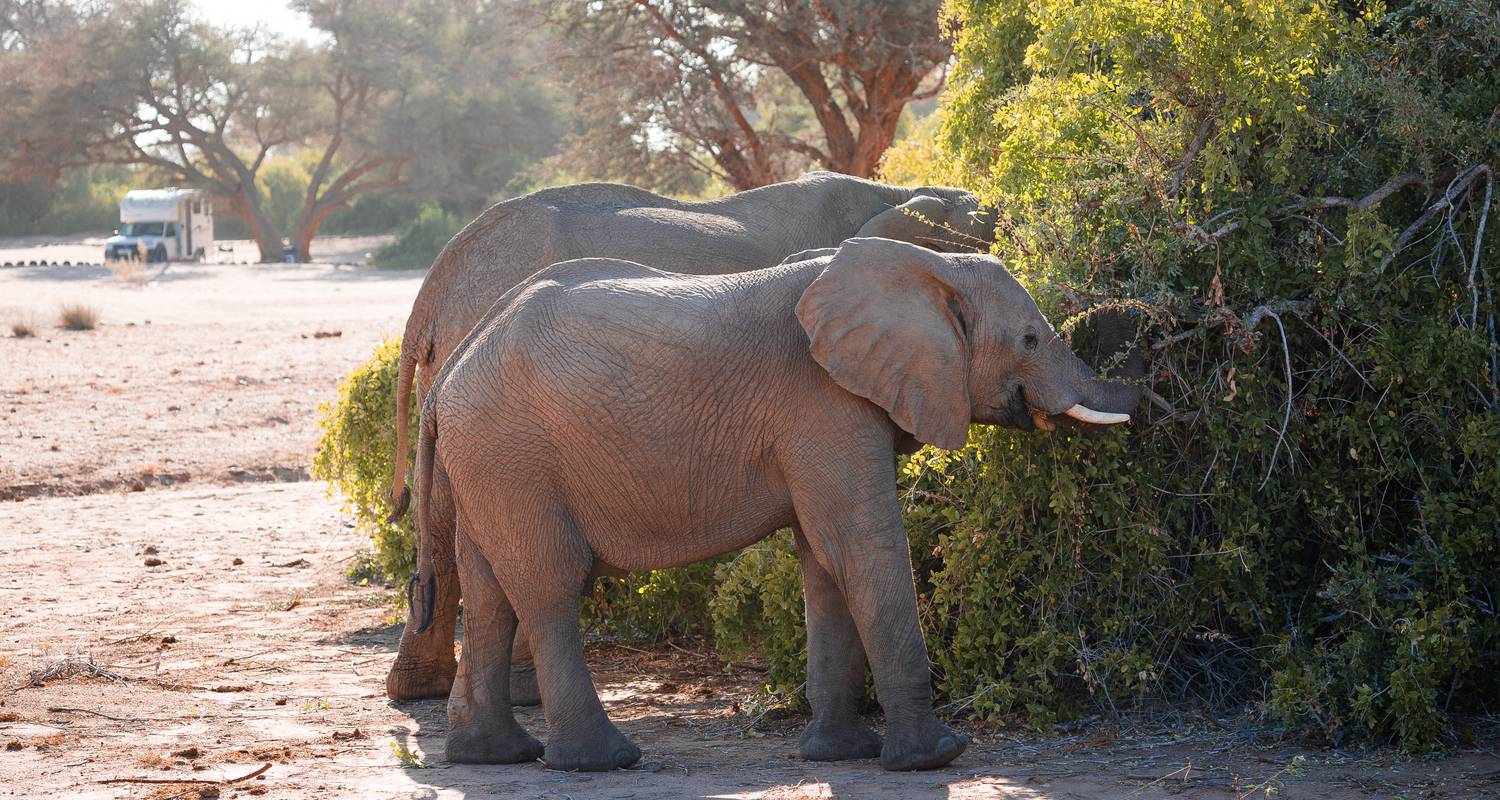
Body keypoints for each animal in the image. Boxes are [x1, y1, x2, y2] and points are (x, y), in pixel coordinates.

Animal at [405, 238, 1140, 774]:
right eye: (1031, 340)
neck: (927, 266)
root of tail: (447, 375)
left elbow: (825, 562)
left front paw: (839, 755)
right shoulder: (822, 404)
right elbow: (861, 547)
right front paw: (932, 759)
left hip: (489, 463)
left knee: (491, 592)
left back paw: (492, 757)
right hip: (512, 456)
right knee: (549, 589)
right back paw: (602, 762)